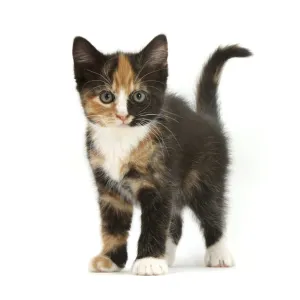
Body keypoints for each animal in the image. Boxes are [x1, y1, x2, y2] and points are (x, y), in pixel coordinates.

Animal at [71, 34, 250, 276]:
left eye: (139, 96)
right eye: (106, 96)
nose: (122, 116)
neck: (121, 138)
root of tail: (206, 119)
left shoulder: (159, 182)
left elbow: (155, 222)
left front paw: (148, 261)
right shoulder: (109, 189)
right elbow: (113, 226)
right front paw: (111, 259)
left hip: (206, 175)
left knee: (213, 210)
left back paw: (218, 253)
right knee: (176, 221)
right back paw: (167, 254)